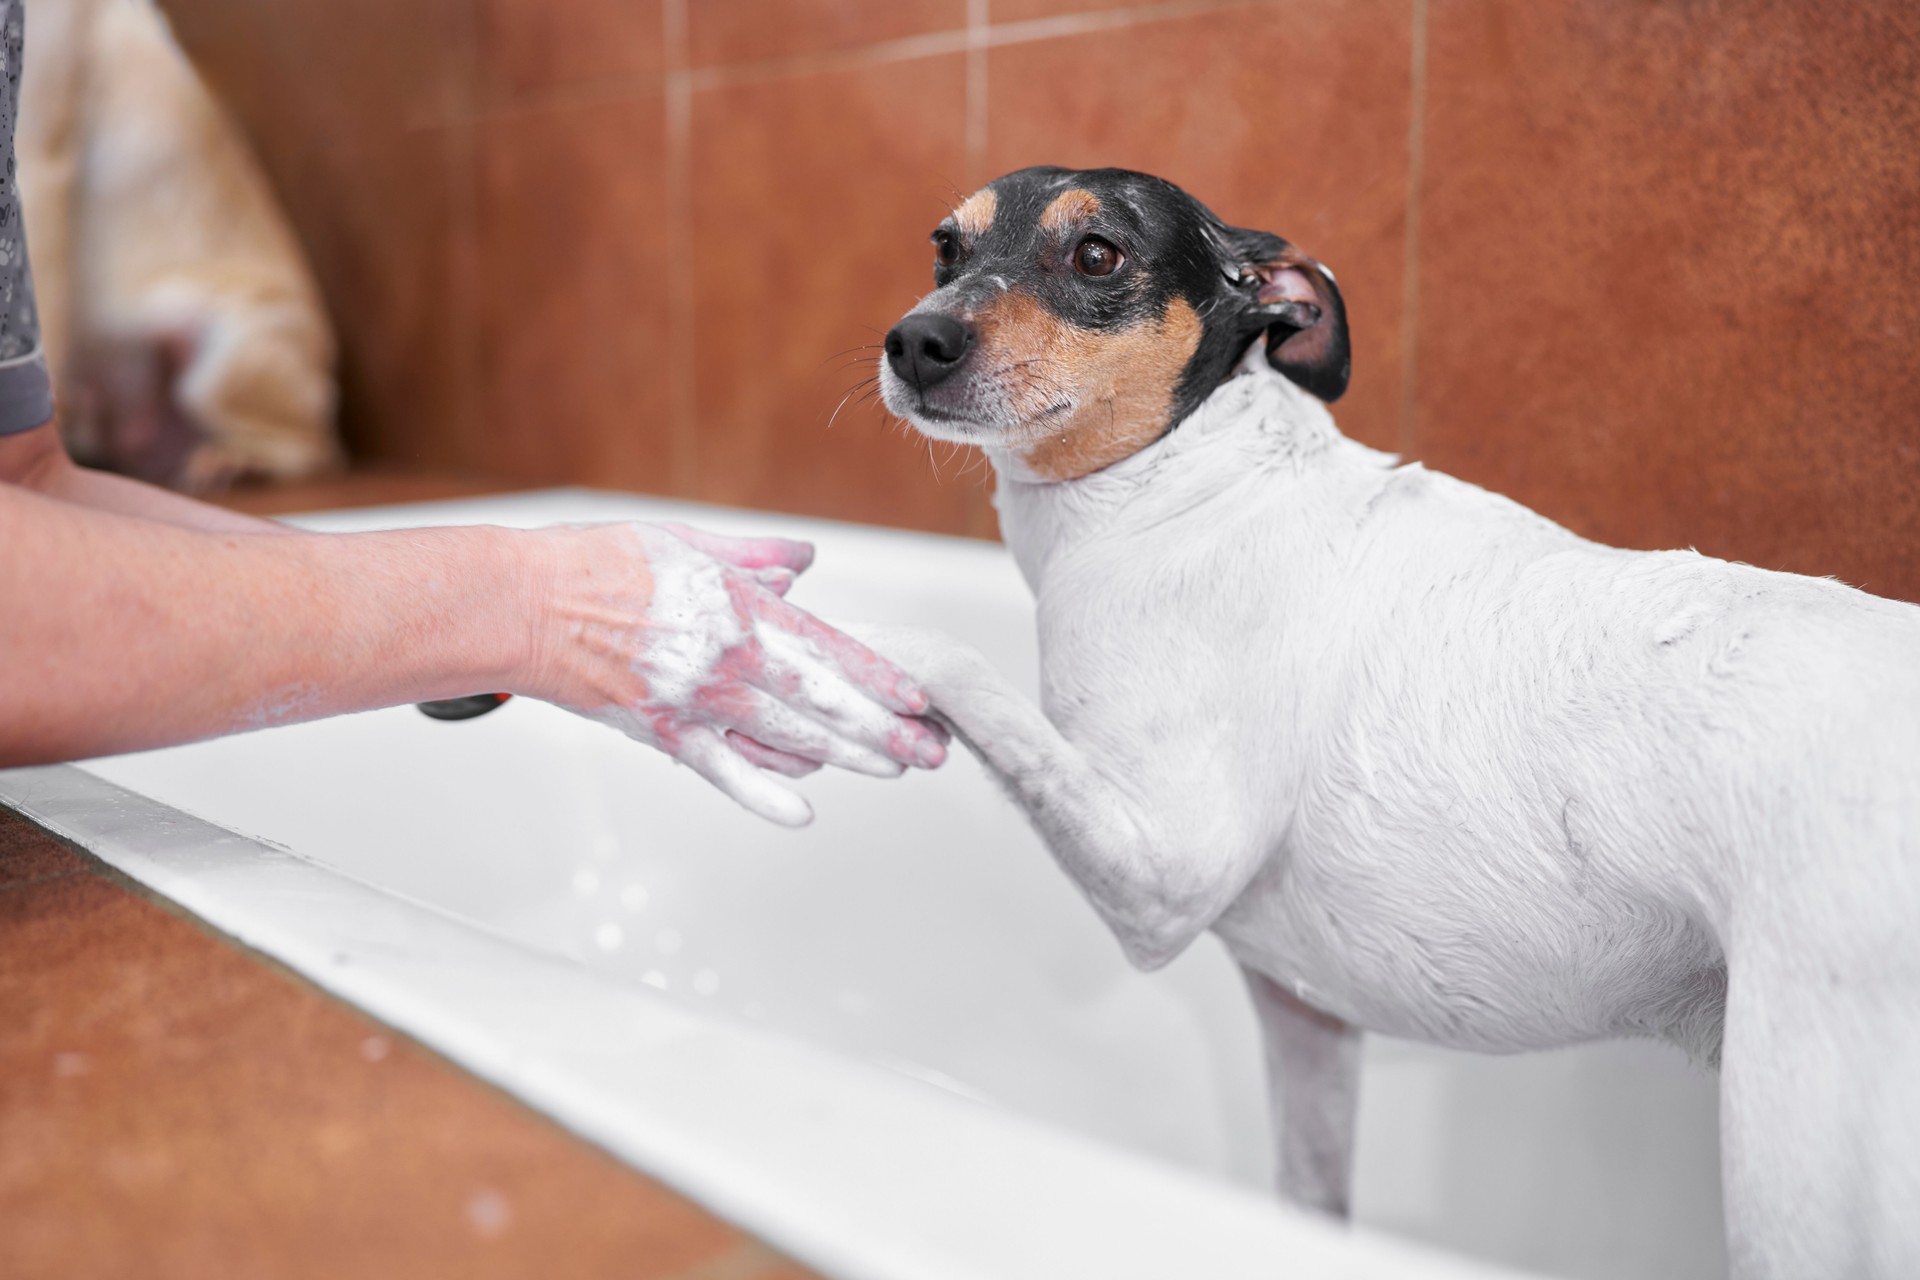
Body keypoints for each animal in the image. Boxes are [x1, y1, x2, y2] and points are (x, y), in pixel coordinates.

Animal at [871, 167, 1920, 1280]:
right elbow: (1309, 1193)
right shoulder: (1308, 1018)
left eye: (1098, 254)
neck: (1179, 483)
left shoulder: (1168, 875)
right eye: (944, 247)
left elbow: (953, 657)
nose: (914, 341)